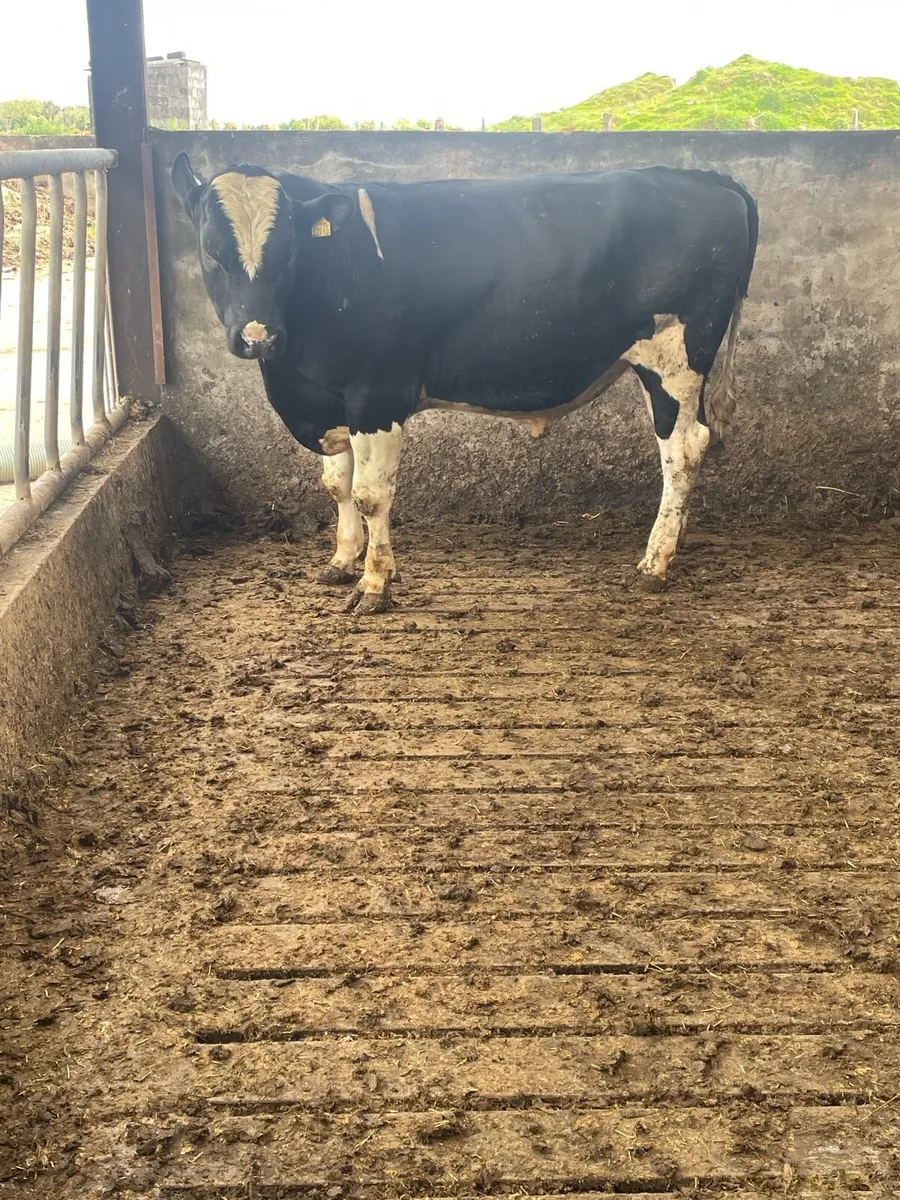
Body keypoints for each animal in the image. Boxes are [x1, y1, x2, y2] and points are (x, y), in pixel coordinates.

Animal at [172, 155, 758, 615]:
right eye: (211, 251)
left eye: (287, 252)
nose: (258, 337)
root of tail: (709, 177)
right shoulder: (333, 403)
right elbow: (337, 486)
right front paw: (342, 561)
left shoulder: (377, 394)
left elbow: (370, 494)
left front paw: (375, 584)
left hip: (674, 357)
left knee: (683, 449)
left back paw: (655, 562)